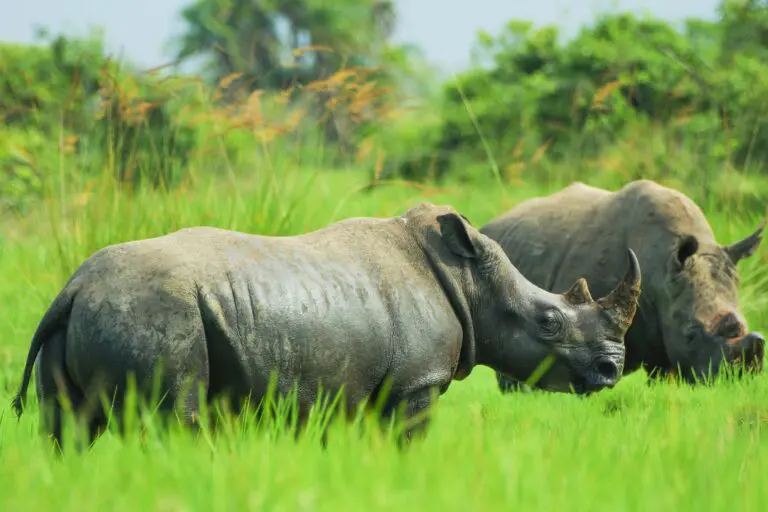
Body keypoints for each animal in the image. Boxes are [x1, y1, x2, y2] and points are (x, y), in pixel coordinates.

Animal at [12, 203, 641, 448]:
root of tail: (72, 289)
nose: (613, 370)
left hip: (98, 311)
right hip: (156, 311)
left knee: (64, 428)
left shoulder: (350, 385)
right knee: (174, 418)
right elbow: (409, 443)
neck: (470, 284)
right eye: (550, 322)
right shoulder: (416, 383)